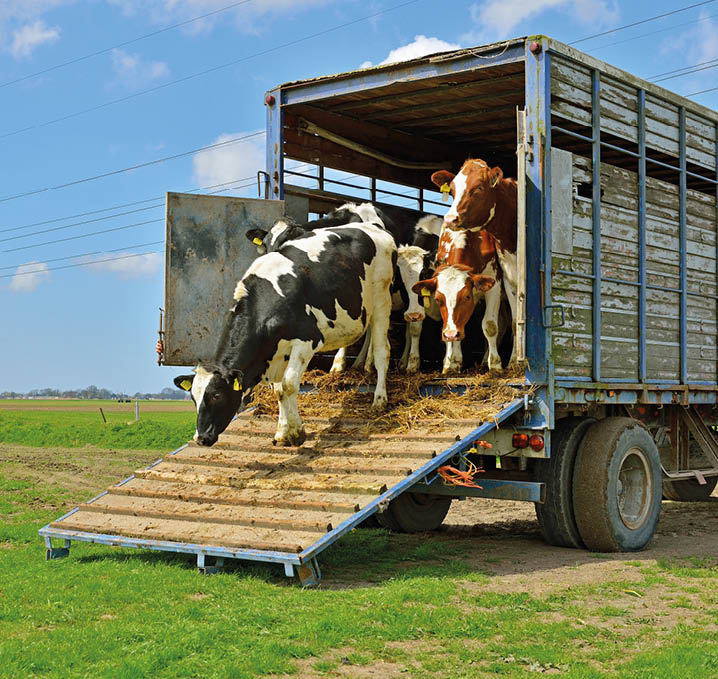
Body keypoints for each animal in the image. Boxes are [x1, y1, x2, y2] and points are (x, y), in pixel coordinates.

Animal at [175, 221, 396, 447]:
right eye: (193, 398)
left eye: (217, 395)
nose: (201, 438)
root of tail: (372, 226)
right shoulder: (276, 352)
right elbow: (279, 390)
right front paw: (283, 432)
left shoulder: (306, 340)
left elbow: (288, 385)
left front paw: (297, 432)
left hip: (382, 299)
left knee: (382, 352)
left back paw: (379, 399)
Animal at [429, 158, 519, 368]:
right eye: (452, 189)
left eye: (478, 187)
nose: (451, 219)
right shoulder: (509, 278)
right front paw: (451, 362)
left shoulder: (496, 280)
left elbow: (491, 325)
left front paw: (497, 365)